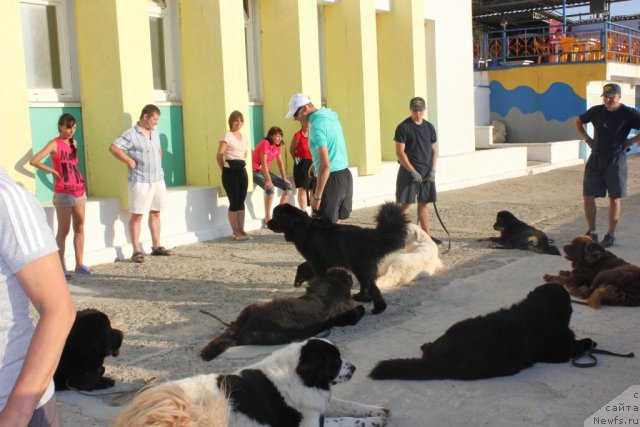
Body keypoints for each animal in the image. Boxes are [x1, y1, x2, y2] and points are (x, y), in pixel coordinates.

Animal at [112, 342, 388, 427]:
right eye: (335, 361)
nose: (354, 368)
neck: (297, 375)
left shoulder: (319, 402)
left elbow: (348, 405)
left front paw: (376, 410)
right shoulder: (307, 424)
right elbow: (343, 420)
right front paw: (374, 421)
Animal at [370, 284, 596, 382]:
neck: (536, 310)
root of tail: (439, 359)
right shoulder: (560, 349)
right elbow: (576, 345)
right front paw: (589, 342)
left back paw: (426, 345)